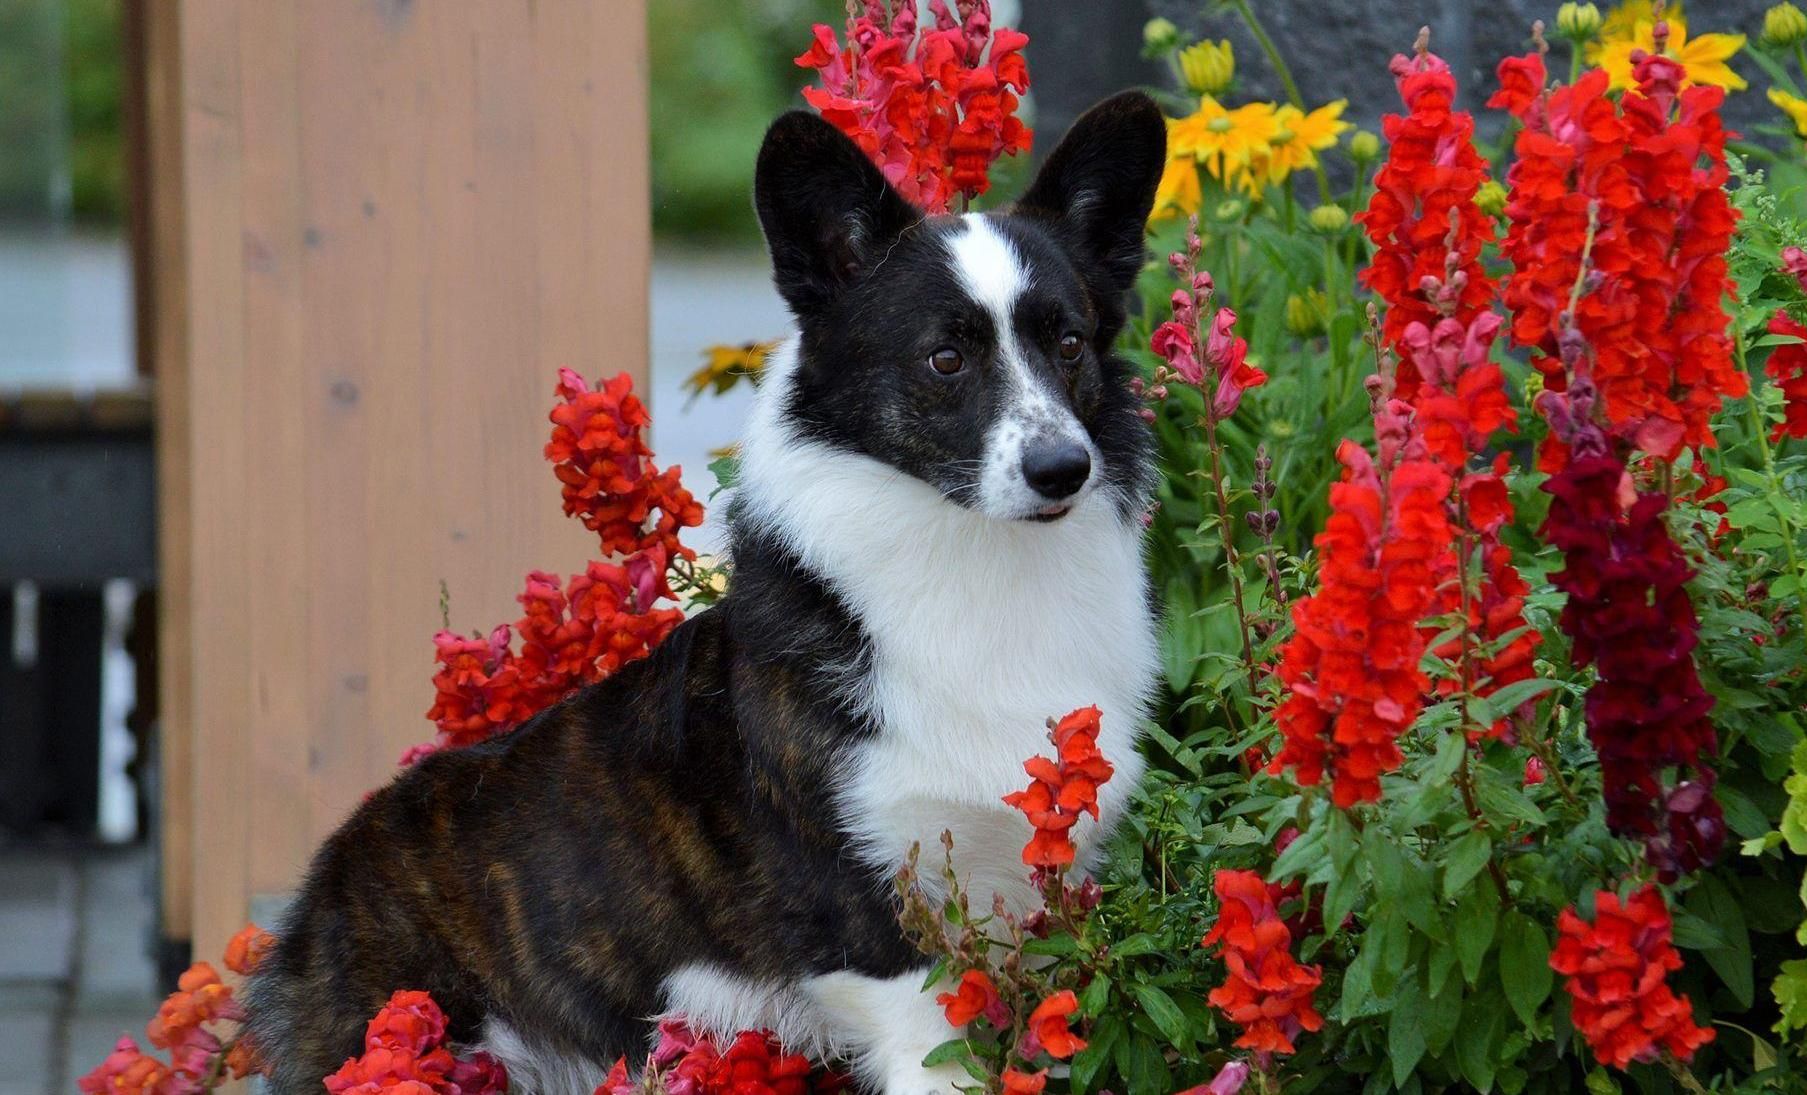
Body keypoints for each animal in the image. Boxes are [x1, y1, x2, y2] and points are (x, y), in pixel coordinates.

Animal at [247, 92, 1163, 1095]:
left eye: (1068, 343)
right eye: (945, 359)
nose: (1062, 468)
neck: (975, 559)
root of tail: (306, 906)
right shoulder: (872, 926)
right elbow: (939, 1057)